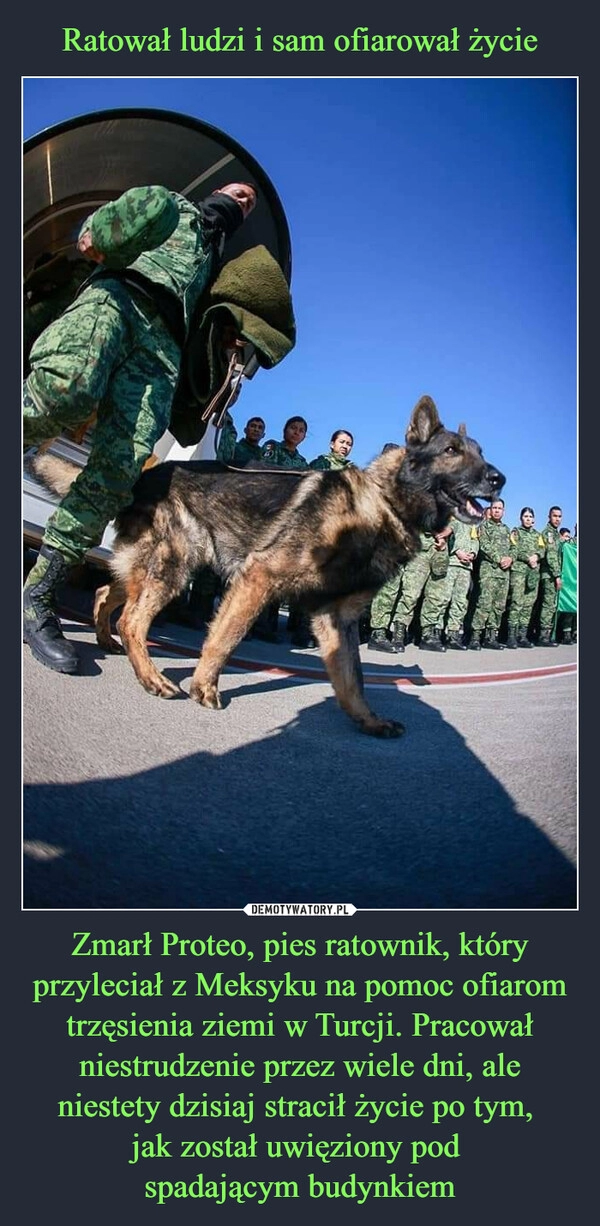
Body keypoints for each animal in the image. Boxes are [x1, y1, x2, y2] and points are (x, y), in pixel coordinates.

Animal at [30, 397, 503, 730]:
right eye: (451, 450)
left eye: (480, 453)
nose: (499, 479)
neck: (384, 503)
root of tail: (144, 475)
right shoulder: (259, 579)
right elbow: (225, 639)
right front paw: (204, 687)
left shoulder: (337, 619)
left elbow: (352, 678)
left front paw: (368, 721)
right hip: (176, 565)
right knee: (132, 618)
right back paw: (150, 676)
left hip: (155, 566)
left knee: (106, 590)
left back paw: (109, 641)